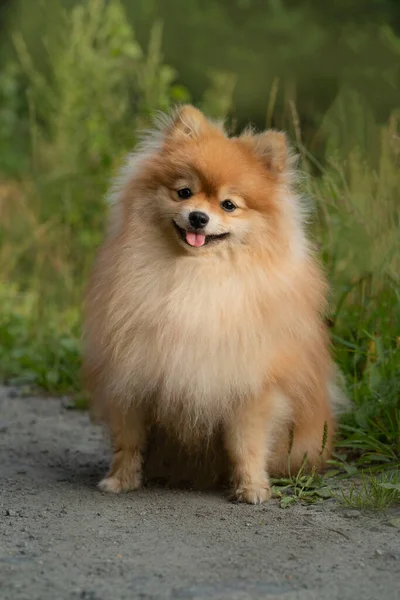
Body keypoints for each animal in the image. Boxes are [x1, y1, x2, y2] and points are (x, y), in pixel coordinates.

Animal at [83, 105, 344, 504]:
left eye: (229, 205)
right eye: (184, 192)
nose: (198, 217)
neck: (194, 277)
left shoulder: (248, 386)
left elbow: (246, 444)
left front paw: (252, 488)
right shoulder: (132, 375)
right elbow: (128, 441)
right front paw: (120, 480)